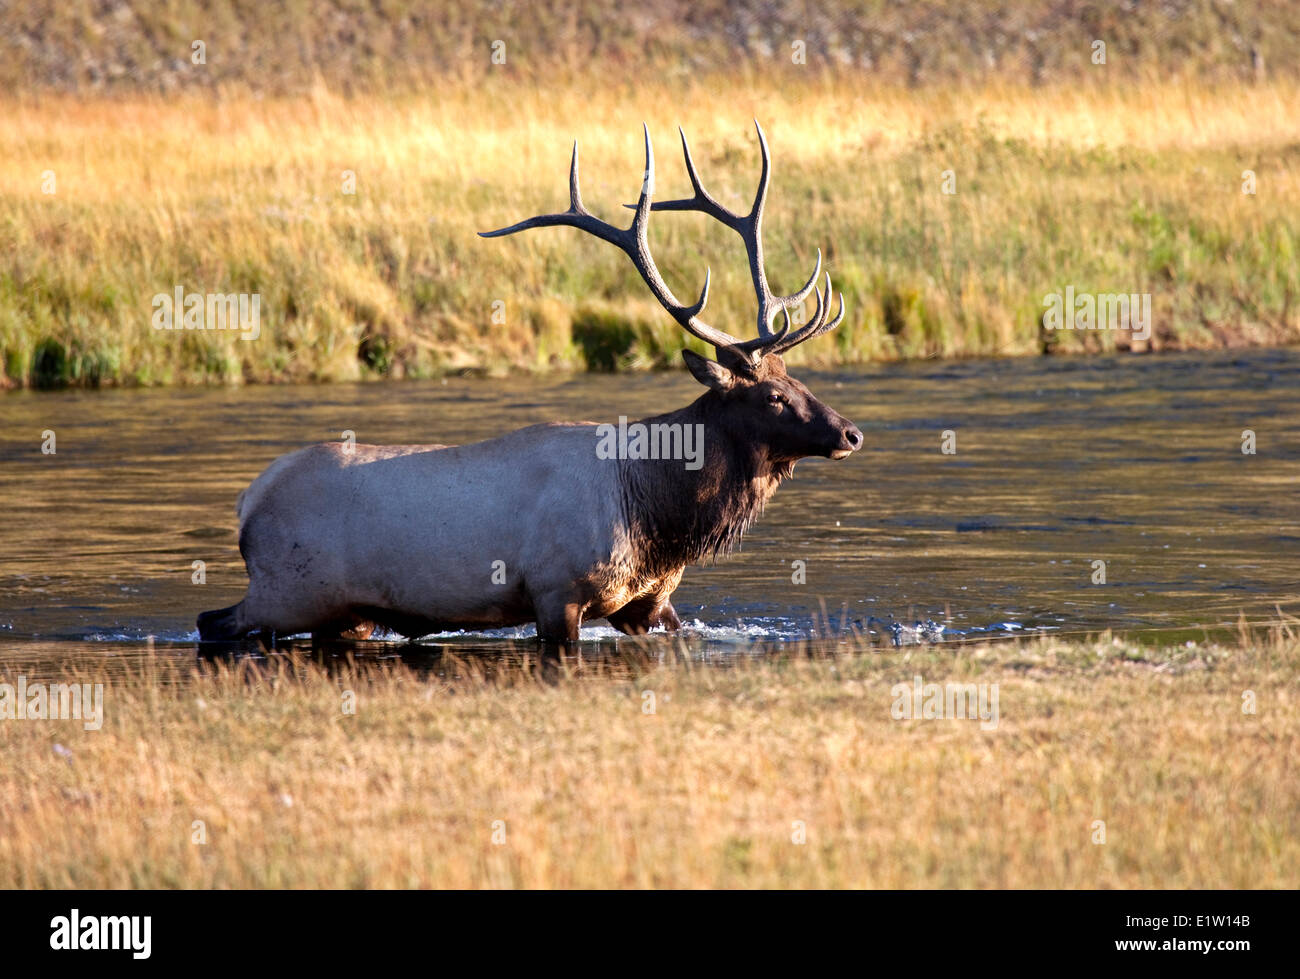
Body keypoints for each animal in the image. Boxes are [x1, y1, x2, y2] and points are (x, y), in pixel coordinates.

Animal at [197, 122, 857, 642]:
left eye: (797, 380)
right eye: (774, 397)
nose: (850, 433)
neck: (656, 516)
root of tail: (247, 502)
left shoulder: (648, 602)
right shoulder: (555, 590)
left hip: (343, 612)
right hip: (289, 590)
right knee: (213, 623)